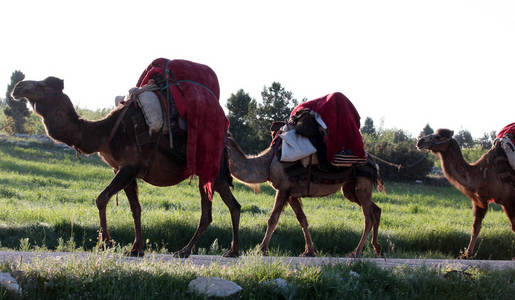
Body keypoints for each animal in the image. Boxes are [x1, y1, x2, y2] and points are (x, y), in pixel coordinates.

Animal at [11, 77, 242, 258]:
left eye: (41, 84)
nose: (18, 86)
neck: (105, 133)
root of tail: (226, 141)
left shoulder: (129, 167)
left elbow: (102, 198)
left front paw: (106, 243)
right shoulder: (124, 170)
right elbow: (135, 208)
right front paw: (135, 249)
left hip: (208, 169)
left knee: (207, 213)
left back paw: (185, 251)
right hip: (218, 176)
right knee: (234, 205)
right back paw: (232, 251)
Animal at [226, 134, 382, 258]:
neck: (267, 164)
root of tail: (374, 163)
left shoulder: (283, 189)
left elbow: (273, 219)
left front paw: (261, 249)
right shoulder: (291, 194)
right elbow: (302, 219)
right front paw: (309, 251)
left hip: (363, 184)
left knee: (368, 218)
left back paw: (356, 252)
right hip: (350, 189)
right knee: (376, 210)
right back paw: (376, 248)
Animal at [420, 128, 515, 258]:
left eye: (438, 136)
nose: (420, 141)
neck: (481, 175)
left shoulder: (508, 200)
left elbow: (514, 226)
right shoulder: (481, 200)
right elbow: (476, 227)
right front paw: (466, 255)